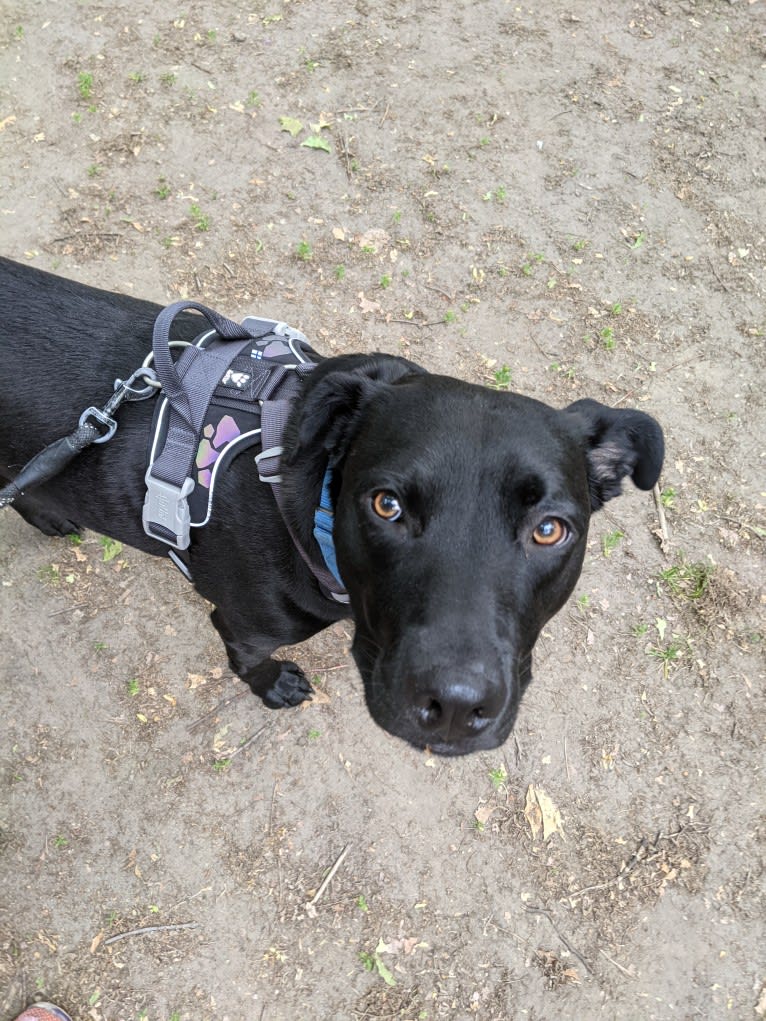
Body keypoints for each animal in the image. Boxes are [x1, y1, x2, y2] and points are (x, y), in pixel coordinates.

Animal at [0, 259, 661, 755]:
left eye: (549, 530)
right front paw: (273, 686)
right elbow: (246, 658)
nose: (454, 705)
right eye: (386, 505)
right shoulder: (241, 624)